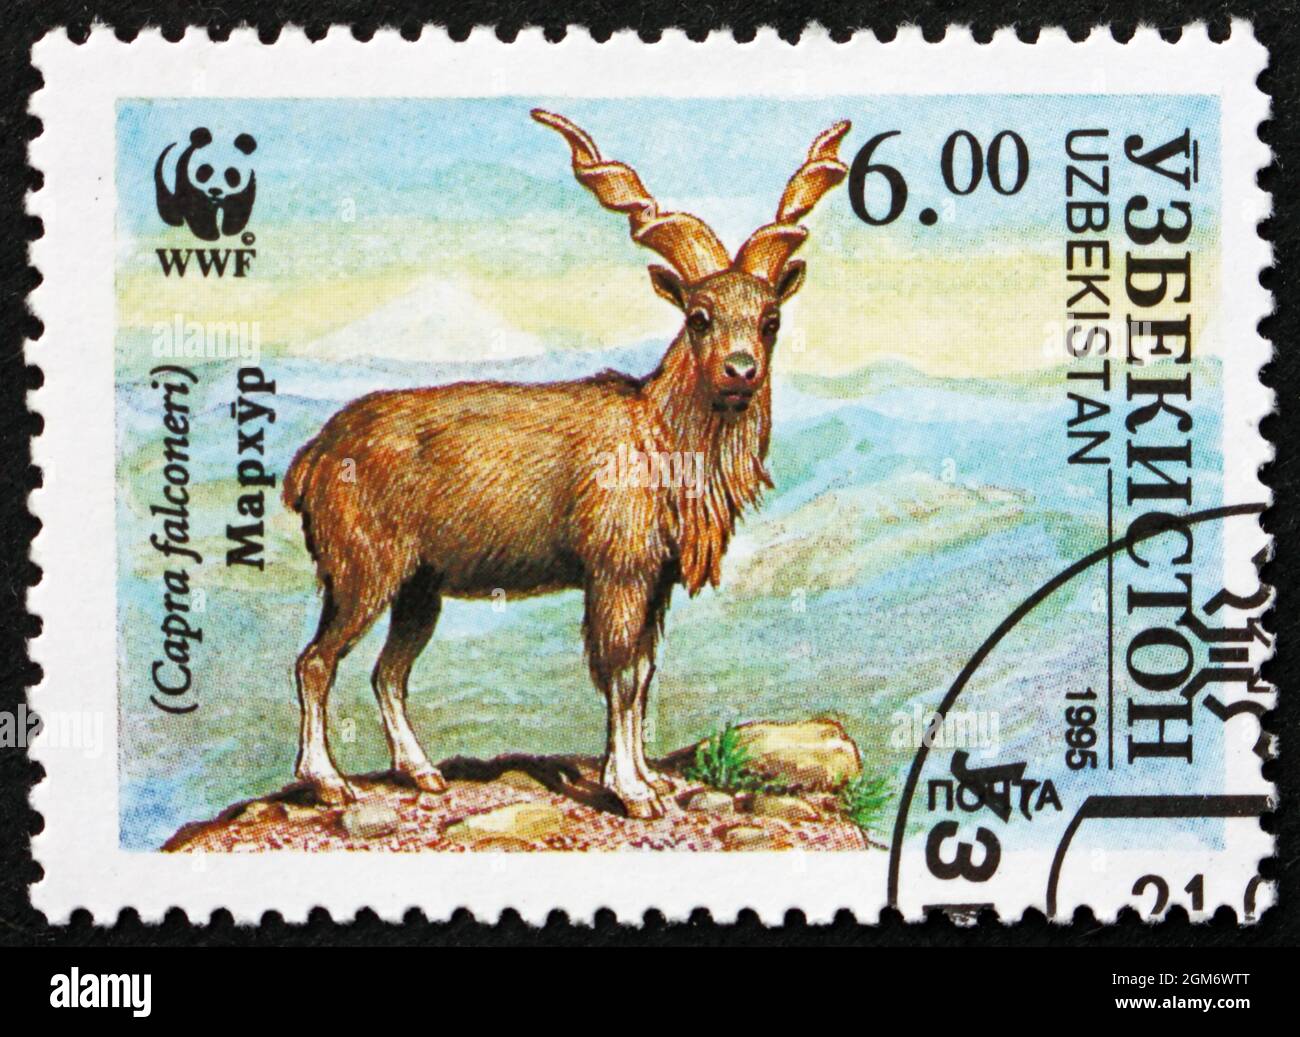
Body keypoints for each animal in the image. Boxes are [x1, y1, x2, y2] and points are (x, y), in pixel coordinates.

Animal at [282, 110, 850, 818]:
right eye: (699, 316)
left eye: (770, 318)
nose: (740, 370)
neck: (657, 434)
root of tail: (314, 457)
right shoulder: (616, 574)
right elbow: (618, 674)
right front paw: (631, 790)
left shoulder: (653, 583)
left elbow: (643, 674)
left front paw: (652, 780)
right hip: (362, 572)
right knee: (316, 661)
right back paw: (328, 782)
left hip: (418, 587)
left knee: (387, 672)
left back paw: (421, 773)